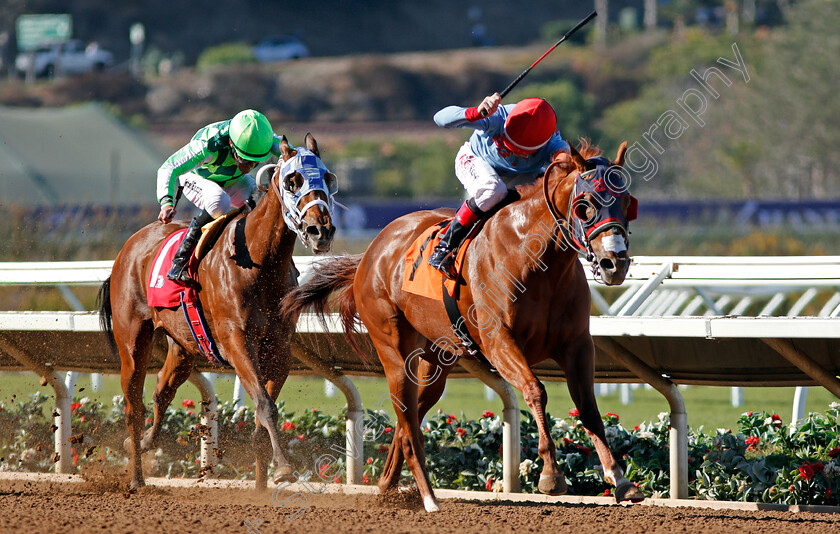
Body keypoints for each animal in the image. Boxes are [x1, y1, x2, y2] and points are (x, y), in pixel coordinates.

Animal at [97, 135, 334, 494]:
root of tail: (130, 246)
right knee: (133, 406)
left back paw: (146, 443)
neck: (259, 262)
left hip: (183, 346)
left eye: (328, 178)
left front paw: (262, 485)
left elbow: (263, 412)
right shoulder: (236, 342)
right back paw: (137, 477)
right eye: (293, 181)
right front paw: (283, 468)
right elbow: (265, 405)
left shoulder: (279, 348)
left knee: (162, 390)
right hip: (133, 342)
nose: (321, 230)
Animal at [282, 140, 644, 512]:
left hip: (434, 361)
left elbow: (588, 406)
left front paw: (620, 480)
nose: (614, 263)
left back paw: (387, 485)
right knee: (407, 419)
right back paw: (428, 497)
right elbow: (535, 390)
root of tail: (372, 251)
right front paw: (550, 475)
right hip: (393, 350)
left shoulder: (577, 344)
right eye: (585, 206)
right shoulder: (499, 341)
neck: (538, 260)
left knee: (410, 416)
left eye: (627, 203)